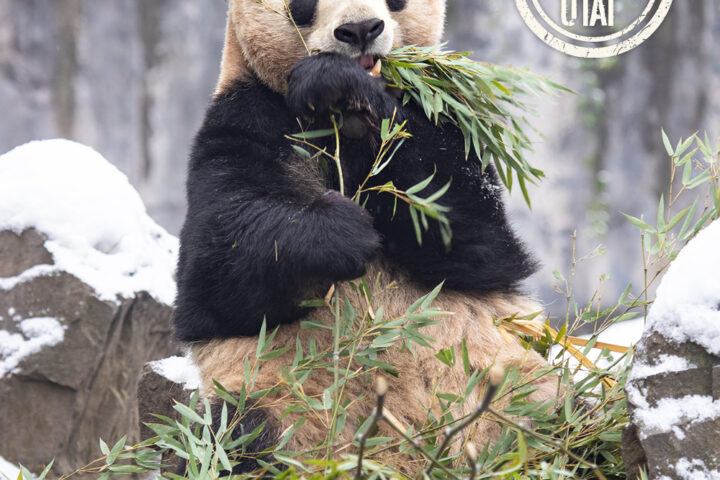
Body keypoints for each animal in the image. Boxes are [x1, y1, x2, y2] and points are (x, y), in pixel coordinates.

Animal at [173, 0, 559, 474]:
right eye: (303, 5)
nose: (360, 30)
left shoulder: (446, 109)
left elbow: (473, 237)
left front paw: (337, 85)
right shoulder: (245, 116)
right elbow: (216, 271)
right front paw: (345, 231)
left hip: (516, 393)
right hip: (275, 404)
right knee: (230, 441)